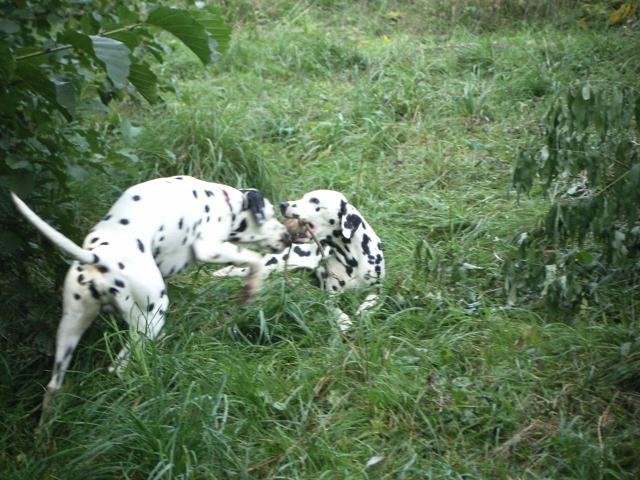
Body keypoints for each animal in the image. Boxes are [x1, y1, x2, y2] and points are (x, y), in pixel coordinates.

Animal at [11, 176, 290, 408]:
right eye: (270, 214)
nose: (288, 236)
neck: (221, 199)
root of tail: (99, 258)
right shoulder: (210, 249)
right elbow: (254, 259)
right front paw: (253, 287)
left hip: (71, 328)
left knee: (53, 387)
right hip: (150, 320)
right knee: (118, 369)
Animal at [215, 190, 384, 330]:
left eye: (314, 200)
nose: (283, 204)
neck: (352, 259)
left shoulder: (378, 290)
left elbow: (373, 300)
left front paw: (363, 310)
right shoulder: (330, 294)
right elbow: (334, 307)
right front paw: (343, 320)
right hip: (274, 265)